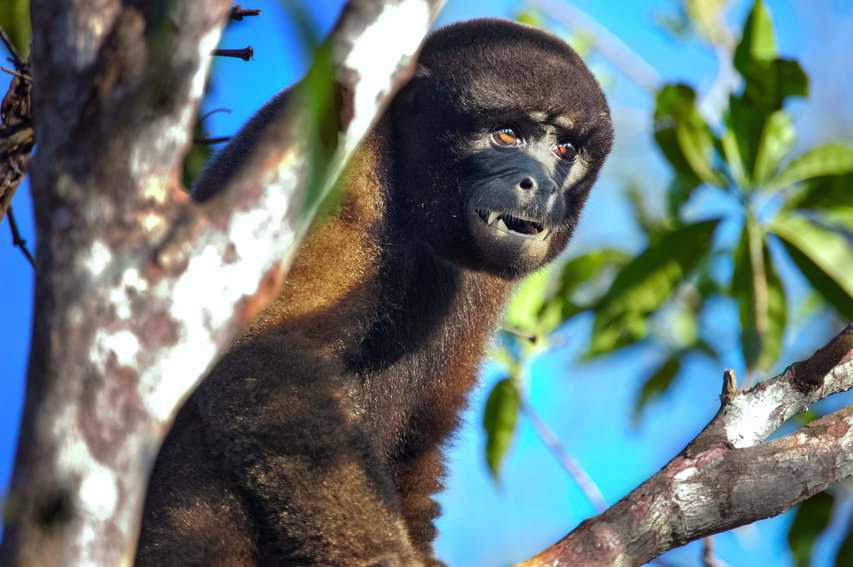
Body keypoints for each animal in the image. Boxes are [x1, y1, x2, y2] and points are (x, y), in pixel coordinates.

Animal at [136, 18, 613, 567]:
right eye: (507, 133)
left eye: (565, 150)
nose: (540, 186)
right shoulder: (342, 166)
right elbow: (268, 354)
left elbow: (424, 437)